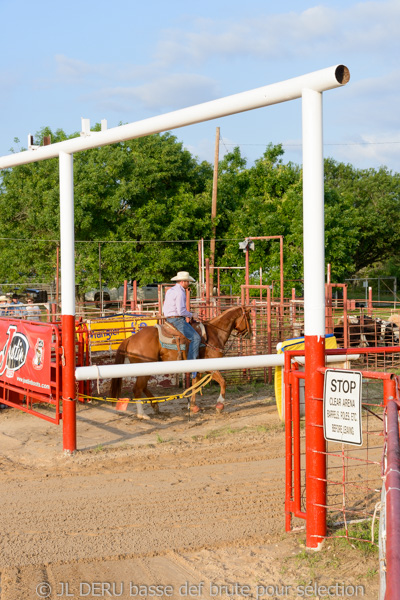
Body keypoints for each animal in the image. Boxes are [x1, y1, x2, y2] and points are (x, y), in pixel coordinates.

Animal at [111, 304, 252, 418]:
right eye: (249, 318)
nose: (249, 335)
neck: (215, 333)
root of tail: (130, 339)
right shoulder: (210, 367)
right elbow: (223, 382)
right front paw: (220, 405)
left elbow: (195, 384)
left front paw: (193, 406)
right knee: (137, 389)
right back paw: (142, 414)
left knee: (142, 387)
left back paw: (155, 406)